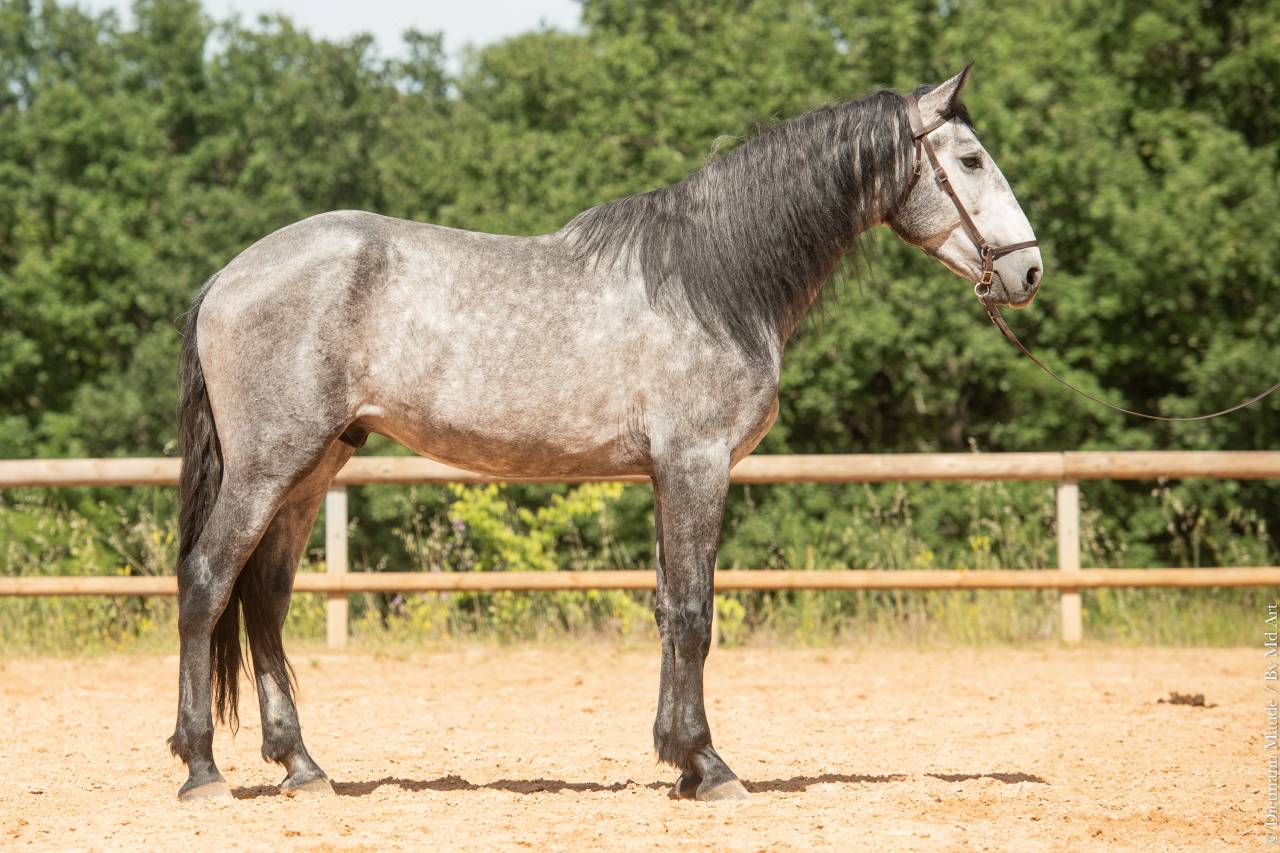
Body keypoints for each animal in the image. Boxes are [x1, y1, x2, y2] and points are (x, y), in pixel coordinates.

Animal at [168, 64, 1042, 802]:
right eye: (970, 160)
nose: (1028, 271)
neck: (714, 281)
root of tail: (226, 278)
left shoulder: (665, 473)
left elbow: (666, 607)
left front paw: (679, 759)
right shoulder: (697, 465)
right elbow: (694, 610)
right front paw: (710, 765)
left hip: (313, 466)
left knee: (264, 598)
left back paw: (302, 765)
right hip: (269, 465)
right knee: (207, 581)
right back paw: (203, 767)